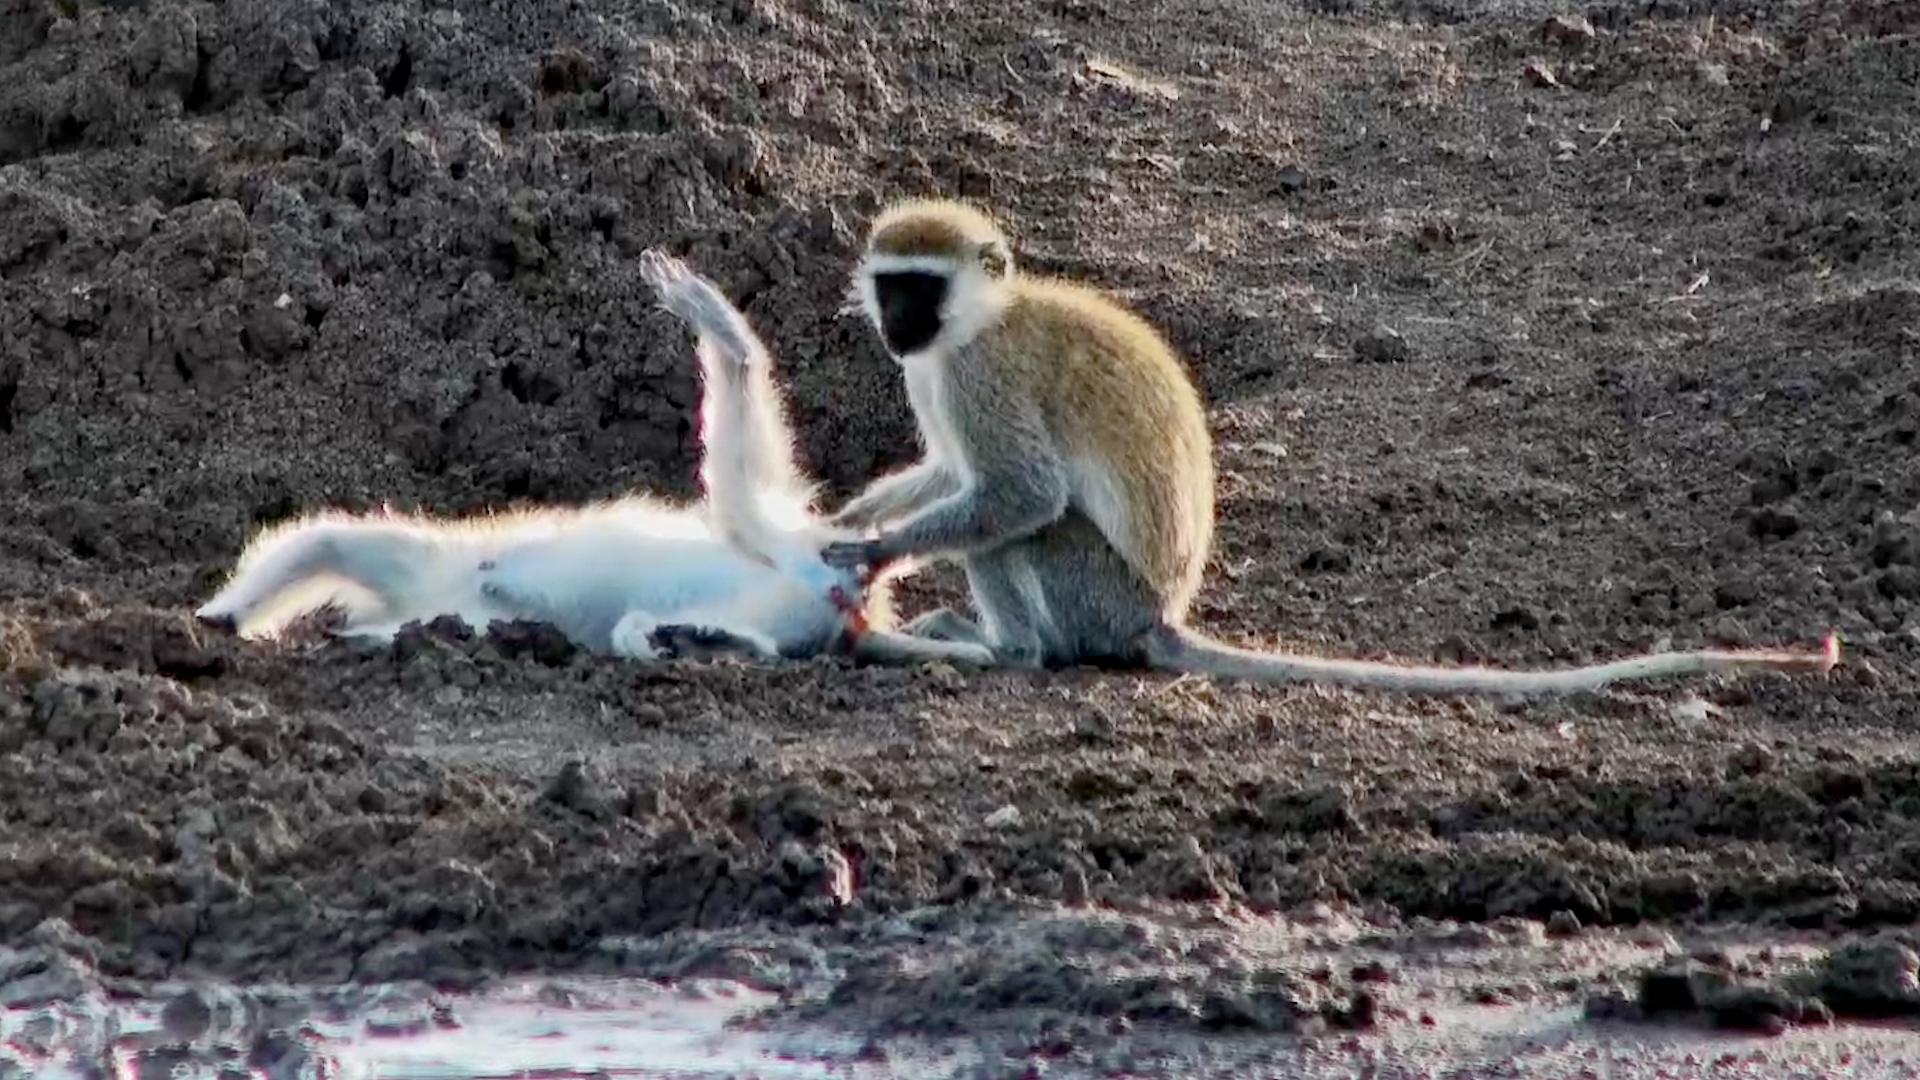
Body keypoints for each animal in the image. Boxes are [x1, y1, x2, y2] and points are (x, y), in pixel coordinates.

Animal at [819, 197, 1841, 695]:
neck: (977, 321)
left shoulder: (978, 373)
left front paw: (872, 554)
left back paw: (1009, 653)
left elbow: (1018, 493)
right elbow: (953, 473)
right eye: (890, 286)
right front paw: (853, 515)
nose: (897, 325)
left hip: (1098, 594)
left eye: (920, 286)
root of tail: (1161, 618)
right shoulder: (937, 375)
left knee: (1028, 531)